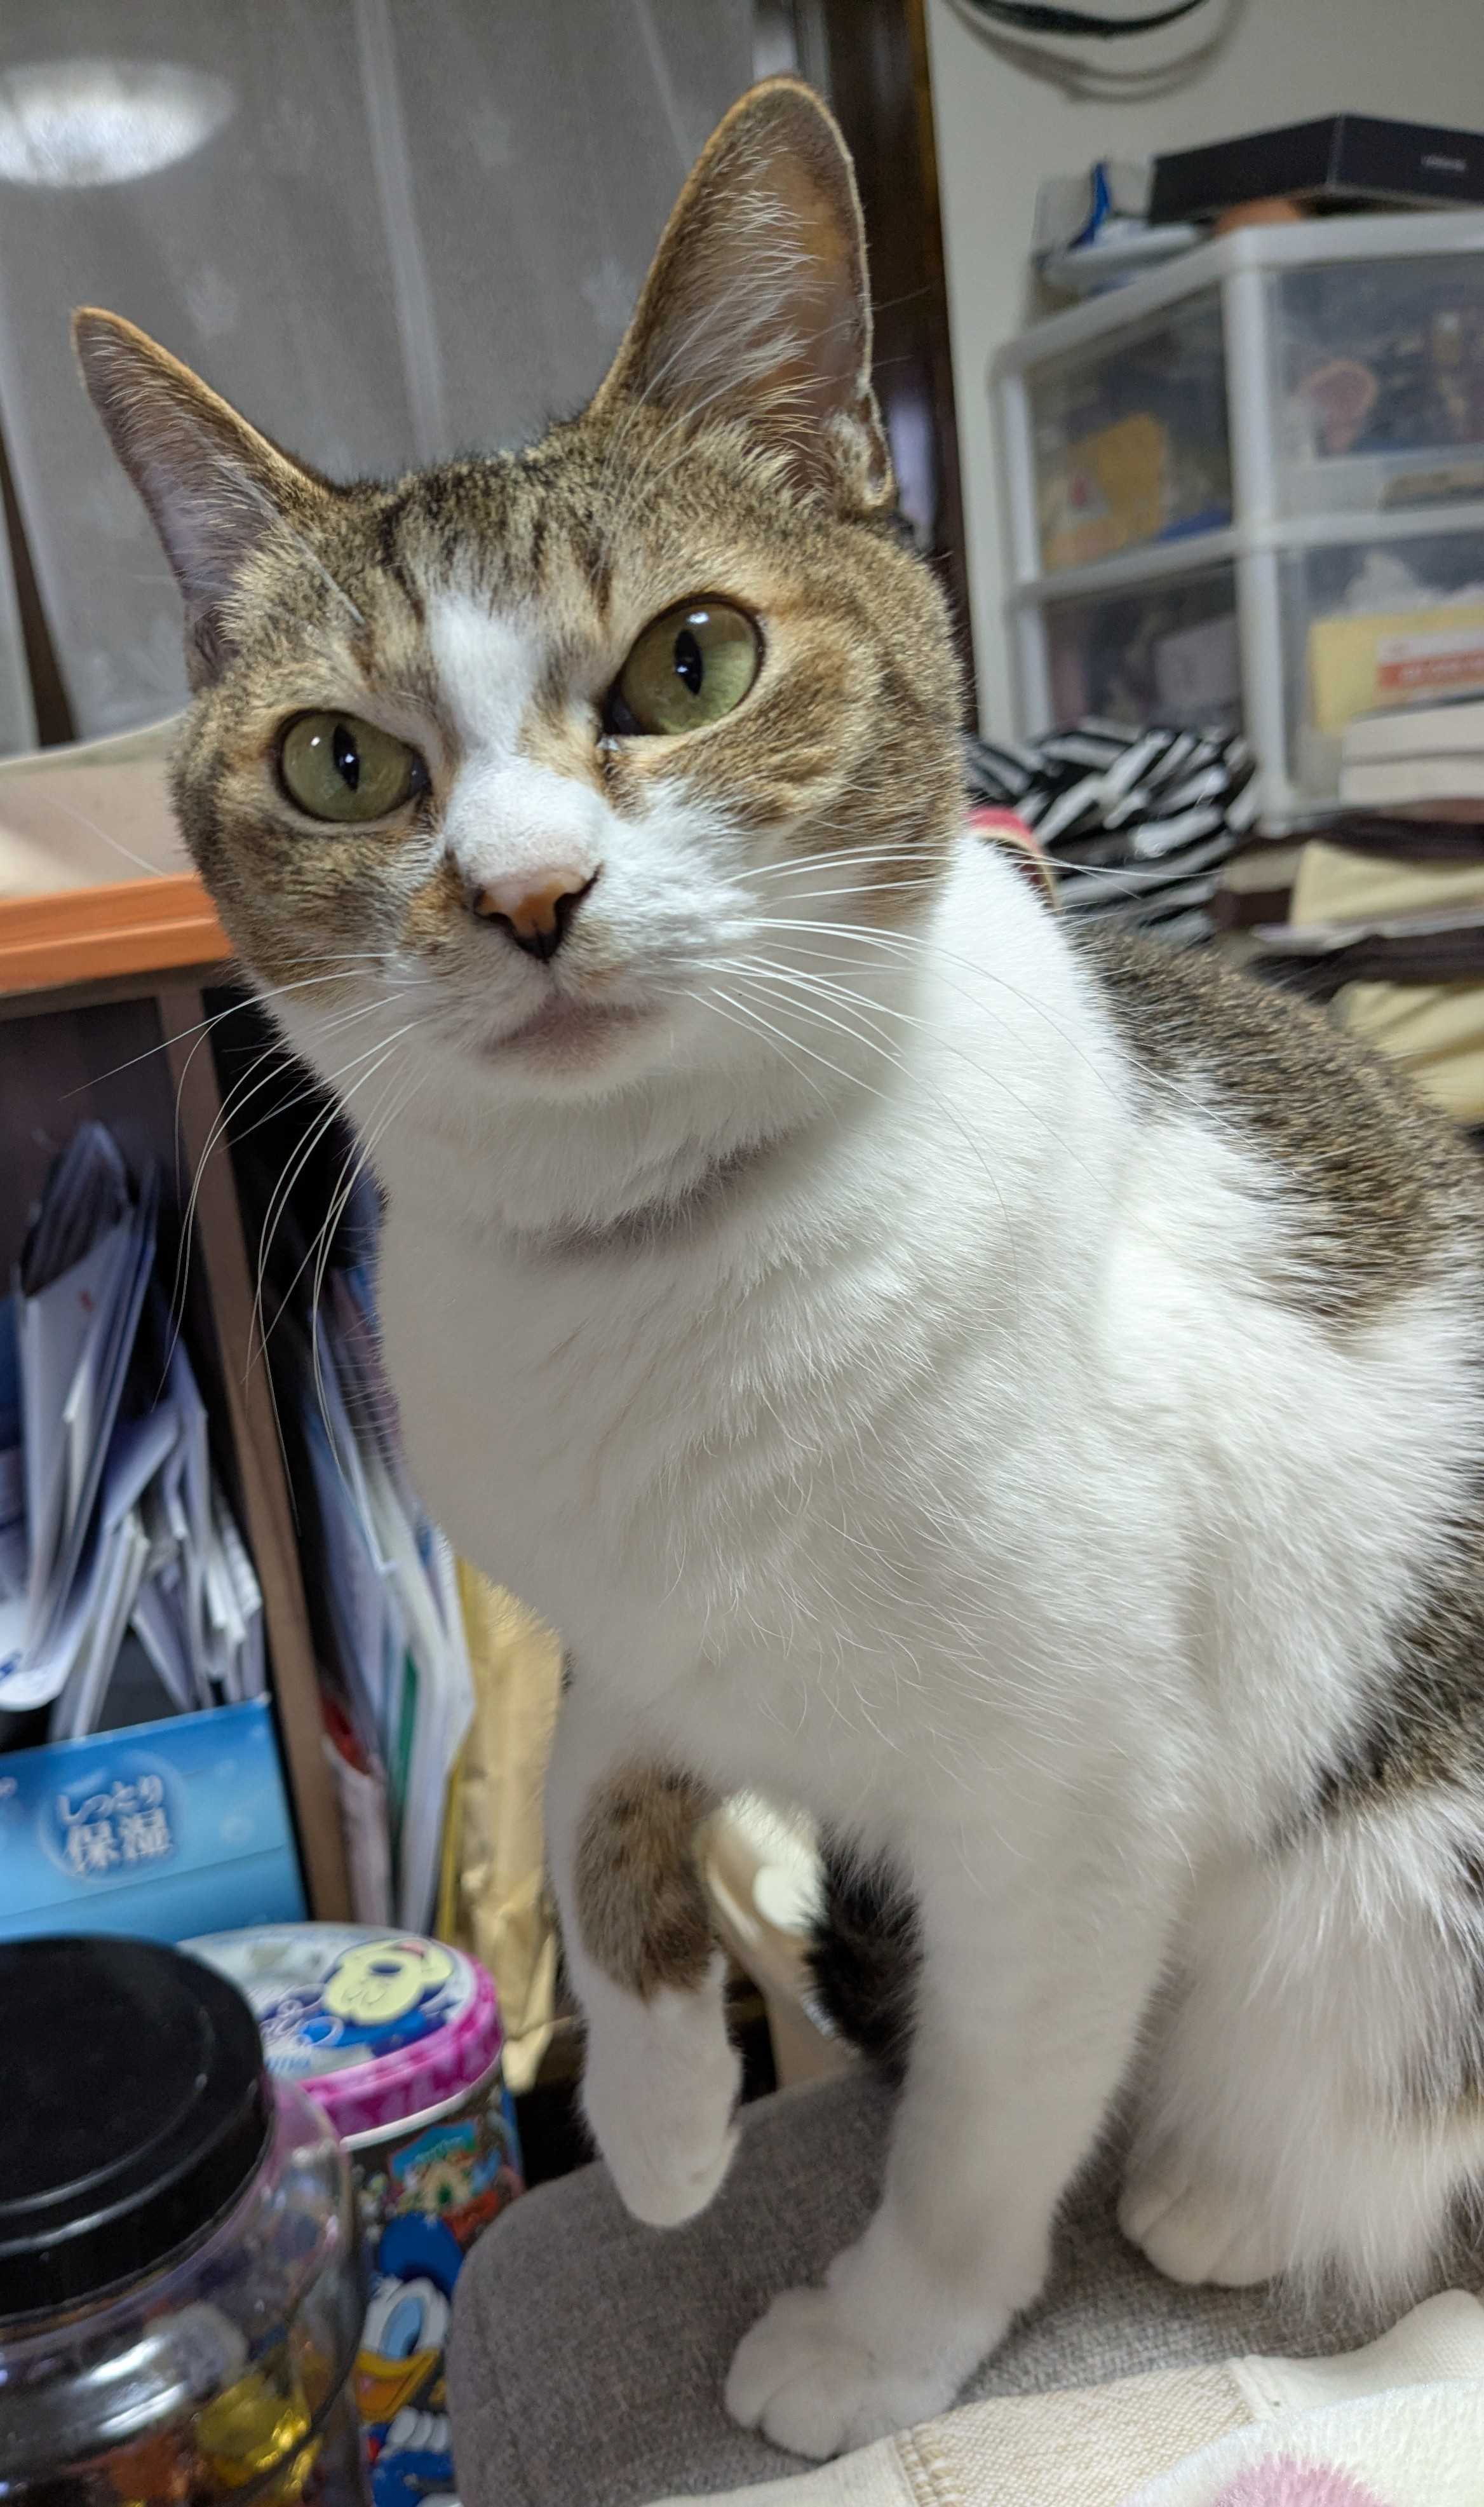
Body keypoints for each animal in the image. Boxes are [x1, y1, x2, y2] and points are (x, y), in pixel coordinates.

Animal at [79, 74, 1484, 2463]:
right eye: (341, 761)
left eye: (691, 659)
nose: (523, 895)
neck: (660, 1269)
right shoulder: (629, 1613)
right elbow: (585, 1783)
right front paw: (654, 2110)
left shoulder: (1070, 1801)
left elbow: (983, 2113)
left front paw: (876, 2334)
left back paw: (1223, 2194)